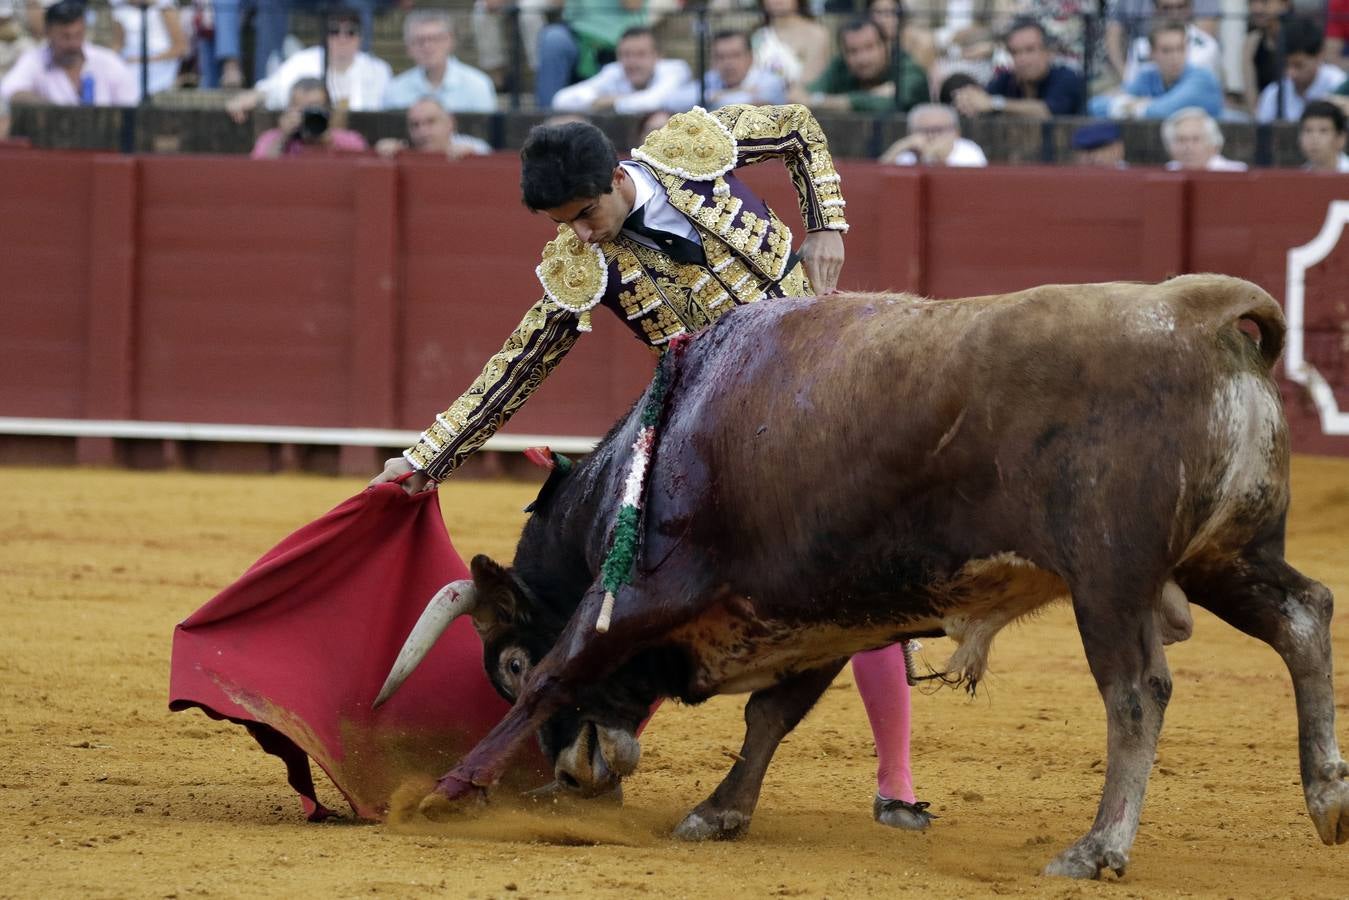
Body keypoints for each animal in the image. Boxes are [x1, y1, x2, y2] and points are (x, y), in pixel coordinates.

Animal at [380, 276, 1349, 879]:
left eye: (502, 658)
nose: (577, 777)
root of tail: (1204, 315)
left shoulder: (648, 592)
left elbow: (559, 672)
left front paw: (443, 793)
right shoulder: (813, 617)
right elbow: (772, 717)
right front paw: (716, 812)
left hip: (1108, 574)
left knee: (1136, 690)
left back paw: (1096, 848)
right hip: (1225, 555)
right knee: (1303, 614)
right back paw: (1328, 798)